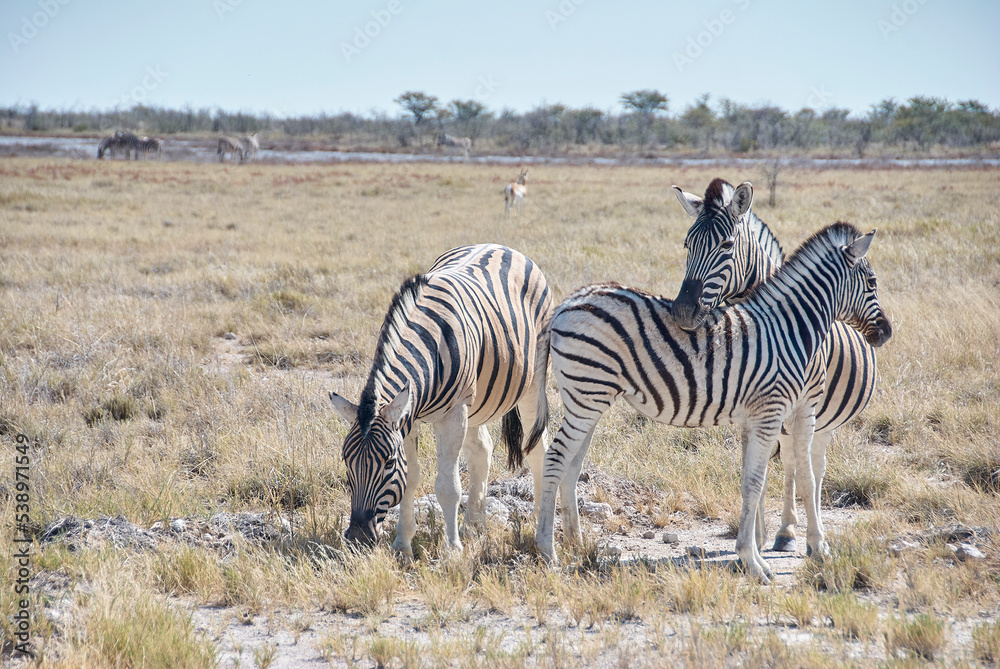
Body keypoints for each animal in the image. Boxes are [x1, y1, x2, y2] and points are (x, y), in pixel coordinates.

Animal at [329, 244, 553, 558]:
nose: (359, 536)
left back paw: (537, 520)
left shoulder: (453, 413)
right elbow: (411, 479)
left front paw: (452, 549)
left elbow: (448, 486)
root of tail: (501, 246)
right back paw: (473, 526)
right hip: (477, 402)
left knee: (537, 449)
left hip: (533, 383)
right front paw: (403, 544)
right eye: (346, 461)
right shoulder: (408, 418)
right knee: (482, 450)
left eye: (388, 462)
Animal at [535, 222, 891, 583]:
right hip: (586, 395)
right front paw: (789, 555)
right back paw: (547, 551)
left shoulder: (754, 417)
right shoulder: (783, 412)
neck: (790, 329)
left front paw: (754, 554)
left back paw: (576, 545)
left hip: (589, 398)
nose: (887, 332)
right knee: (554, 460)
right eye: (872, 283)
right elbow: (796, 479)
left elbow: (751, 483)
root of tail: (567, 302)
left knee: (571, 465)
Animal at [671, 178, 879, 552]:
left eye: (726, 245)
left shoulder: (802, 406)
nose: (682, 312)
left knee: (811, 466)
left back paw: (794, 528)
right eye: (687, 244)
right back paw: (784, 529)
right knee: (791, 461)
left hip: (823, 422)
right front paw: (755, 536)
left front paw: (800, 536)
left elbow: (799, 472)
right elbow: (757, 472)